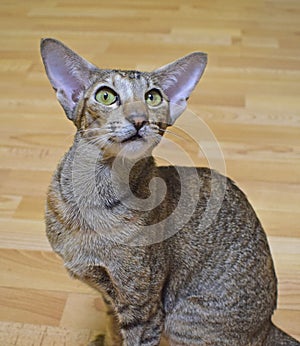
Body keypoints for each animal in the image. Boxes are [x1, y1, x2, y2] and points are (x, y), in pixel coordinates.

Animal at [40, 38, 300, 346]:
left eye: (152, 97)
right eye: (105, 96)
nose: (139, 119)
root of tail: (267, 327)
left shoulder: (143, 306)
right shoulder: (110, 297)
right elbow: (114, 331)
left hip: (183, 319)